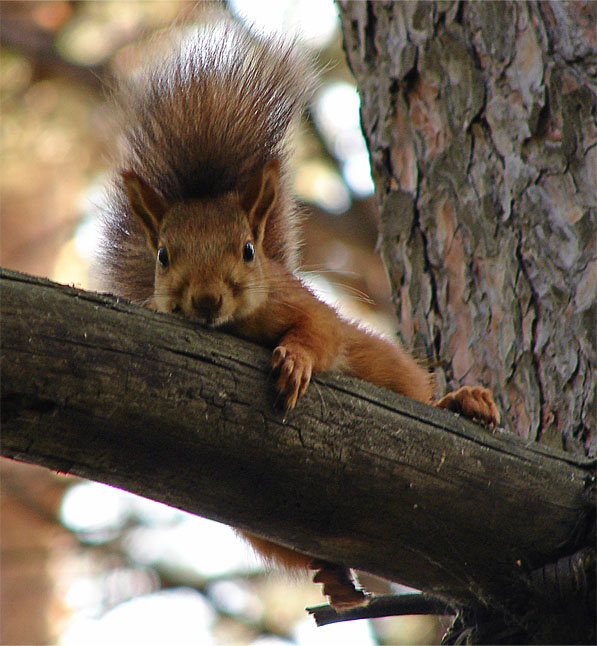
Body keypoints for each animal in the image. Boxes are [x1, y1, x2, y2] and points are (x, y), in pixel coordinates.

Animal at [95, 17, 499, 608]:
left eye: (247, 249)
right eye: (163, 257)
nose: (206, 300)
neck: (238, 325)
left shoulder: (302, 305)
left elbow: (320, 333)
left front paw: (295, 360)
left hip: (388, 364)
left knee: (424, 398)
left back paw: (463, 401)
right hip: (257, 524)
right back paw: (334, 577)